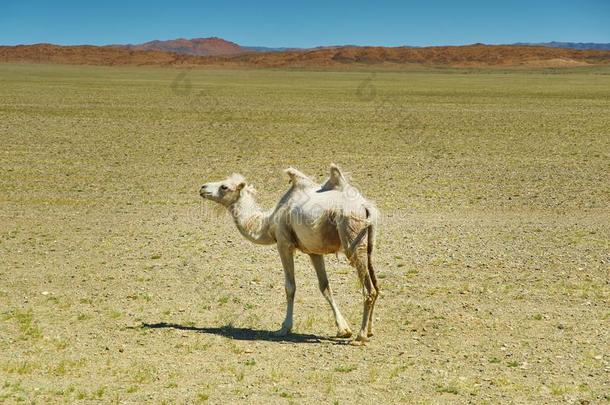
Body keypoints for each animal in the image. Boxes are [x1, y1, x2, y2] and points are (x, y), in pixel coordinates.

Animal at [200, 163, 380, 342]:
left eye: (224, 187)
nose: (202, 187)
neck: (269, 223)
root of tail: (365, 207)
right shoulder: (314, 251)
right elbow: (325, 287)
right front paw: (343, 329)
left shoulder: (284, 243)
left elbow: (290, 287)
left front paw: (284, 328)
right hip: (368, 244)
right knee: (376, 286)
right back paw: (370, 330)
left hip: (352, 237)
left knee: (369, 290)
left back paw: (361, 335)